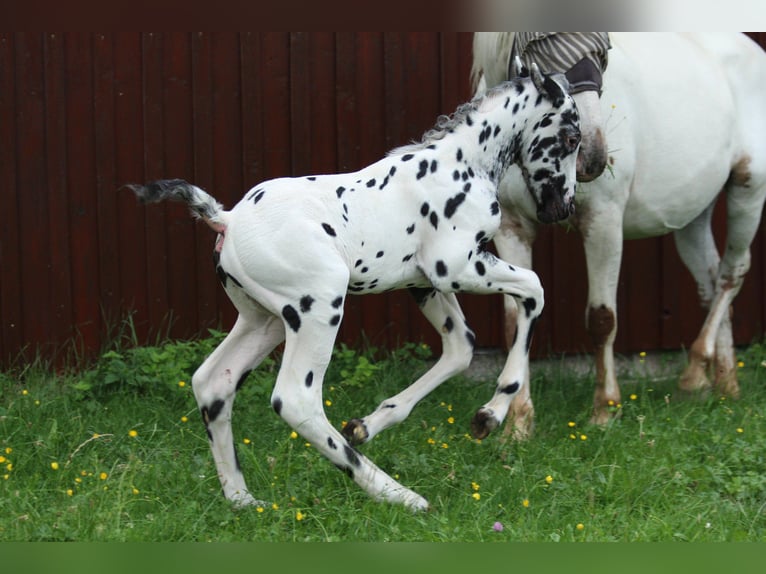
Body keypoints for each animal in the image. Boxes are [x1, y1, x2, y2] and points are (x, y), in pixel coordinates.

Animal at [127, 66, 581, 510]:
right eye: (572, 137)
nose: (563, 207)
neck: (461, 161)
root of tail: (228, 219)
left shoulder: (423, 283)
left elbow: (462, 347)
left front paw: (368, 424)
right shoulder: (456, 268)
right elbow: (534, 291)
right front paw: (492, 413)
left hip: (264, 320)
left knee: (213, 382)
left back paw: (242, 498)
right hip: (319, 306)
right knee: (295, 400)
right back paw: (397, 494)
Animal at [471, 32, 766, 437]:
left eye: (603, 45)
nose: (590, 155)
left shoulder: (604, 222)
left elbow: (602, 319)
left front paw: (605, 411)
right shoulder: (513, 229)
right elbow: (517, 323)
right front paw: (516, 425)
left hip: (749, 190)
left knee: (731, 276)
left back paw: (694, 374)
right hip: (692, 215)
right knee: (711, 281)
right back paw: (725, 384)